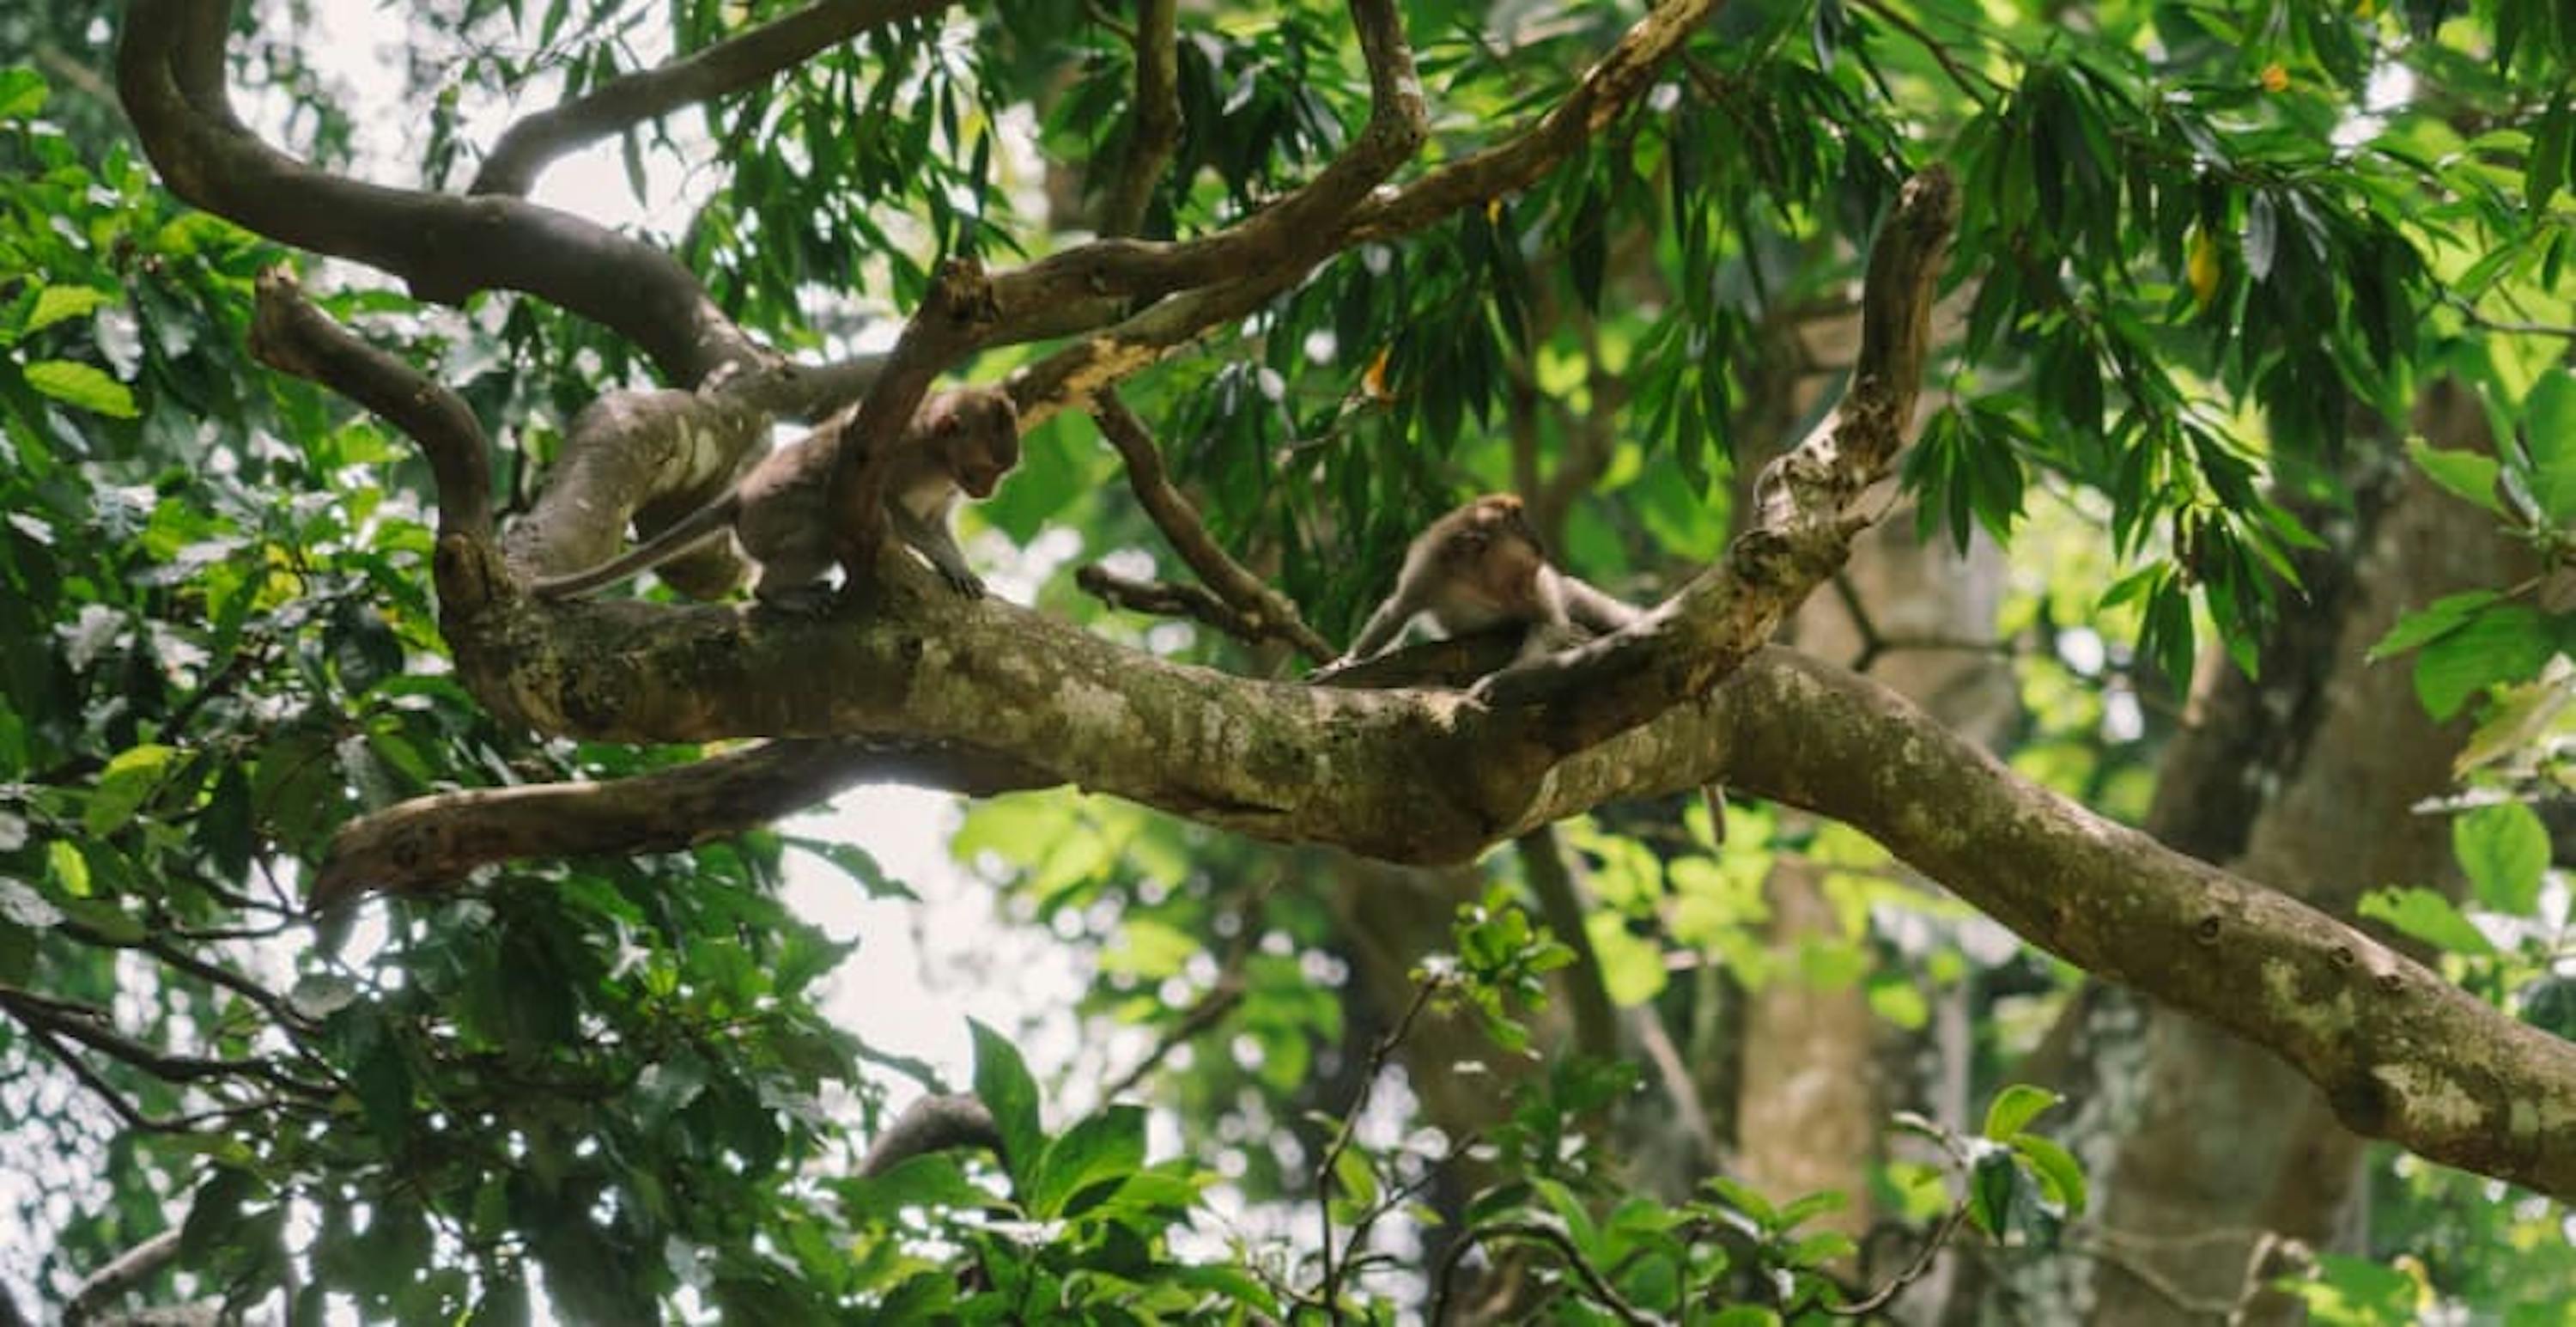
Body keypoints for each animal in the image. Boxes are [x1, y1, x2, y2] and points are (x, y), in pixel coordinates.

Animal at [531, 384, 1015, 613]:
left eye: (1000, 472)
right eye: (986, 469)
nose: (988, 490)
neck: (938, 454)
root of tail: (741, 496)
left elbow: (934, 521)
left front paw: (956, 564)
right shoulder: (904, 452)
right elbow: (893, 508)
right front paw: (946, 560)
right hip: (767, 518)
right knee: (820, 531)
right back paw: (775, 593)